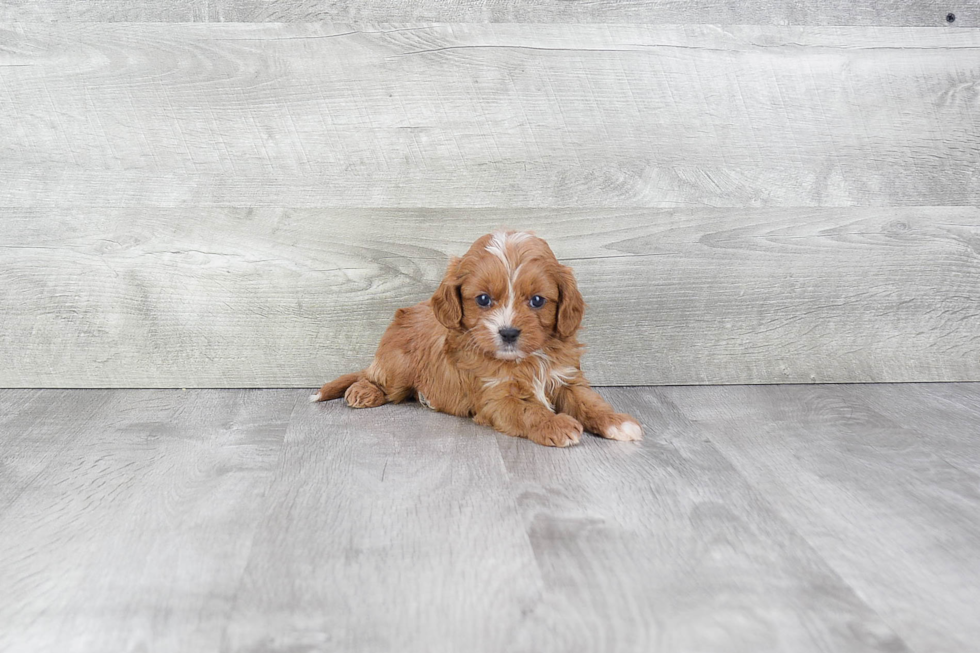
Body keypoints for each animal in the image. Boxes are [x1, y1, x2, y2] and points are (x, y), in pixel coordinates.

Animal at [310, 230, 640, 448]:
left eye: (537, 300)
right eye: (483, 299)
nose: (508, 332)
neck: (527, 360)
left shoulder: (567, 377)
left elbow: (590, 402)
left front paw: (617, 421)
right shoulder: (496, 397)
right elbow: (529, 409)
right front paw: (556, 424)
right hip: (397, 366)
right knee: (373, 377)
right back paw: (363, 391)